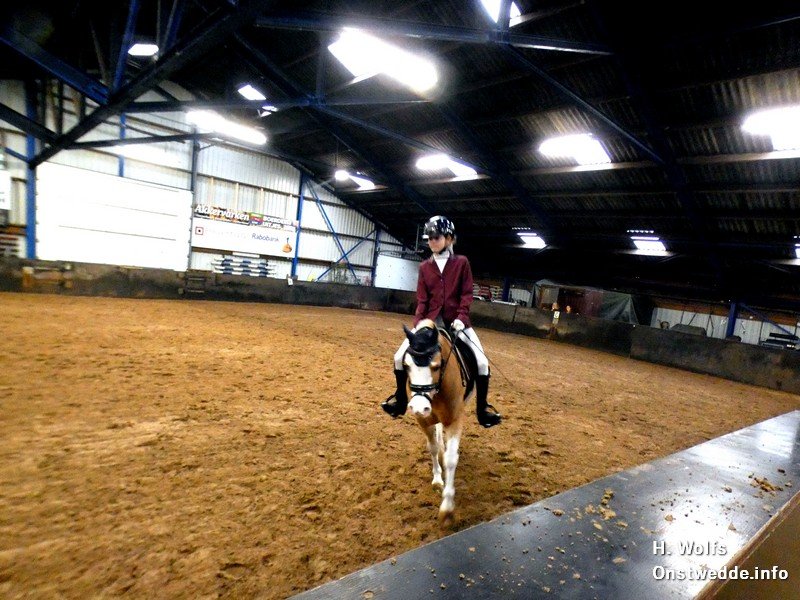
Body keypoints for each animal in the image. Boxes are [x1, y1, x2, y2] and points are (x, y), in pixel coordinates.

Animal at [400, 319, 477, 522]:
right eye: (407, 366)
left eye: (435, 366)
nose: (419, 407)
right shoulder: (423, 421)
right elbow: (433, 448)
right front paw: (437, 480)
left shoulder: (455, 419)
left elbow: (451, 459)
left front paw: (447, 508)